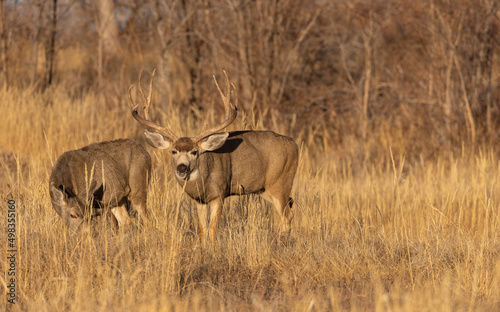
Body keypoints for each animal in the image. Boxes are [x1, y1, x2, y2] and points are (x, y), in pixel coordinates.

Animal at [131, 70, 298, 249]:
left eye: (195, 152)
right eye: (174, 151)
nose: (182, 167)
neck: (204, 178)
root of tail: (295, 145)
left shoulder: (219, 194)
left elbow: (212, 228)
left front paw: (212, 251)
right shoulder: (199, 200)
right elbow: (202, 228)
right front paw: (203, 250)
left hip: (280, 183)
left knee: (287, 215)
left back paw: (282, 244)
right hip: (264, 189)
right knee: (284, 212)